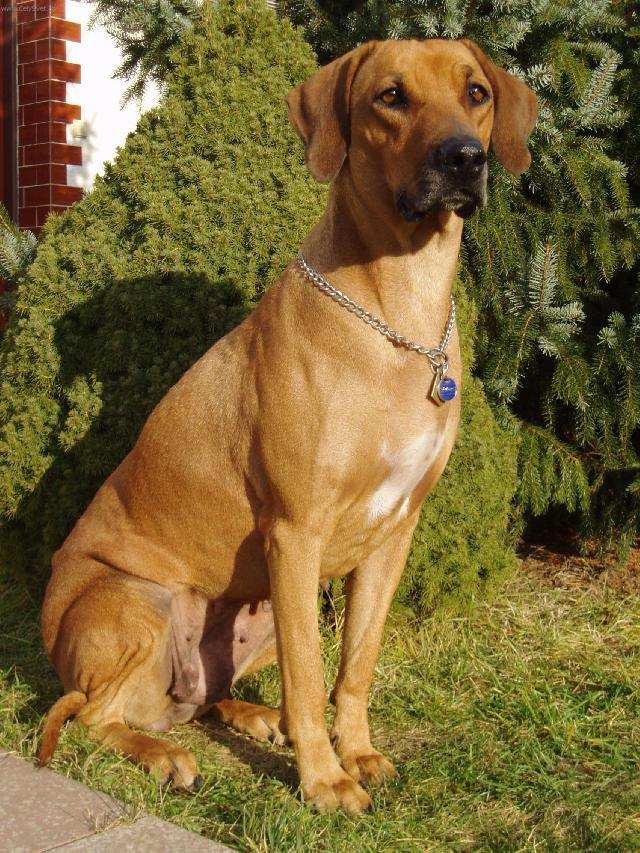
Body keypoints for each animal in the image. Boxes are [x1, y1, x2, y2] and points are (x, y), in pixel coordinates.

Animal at [37, 38, 532, 812]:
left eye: (476, 92)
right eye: (391, 96)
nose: (463, 158)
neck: (398, 315)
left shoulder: (394, 533)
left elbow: (354, 664)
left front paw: (356, 752)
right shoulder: (296, 531)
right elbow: (309, 673)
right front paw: (324, 778)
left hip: (257, 605)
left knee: (199, 698)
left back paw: (248, 714)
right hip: (138, 600)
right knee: (95, 714)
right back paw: (164, 753)